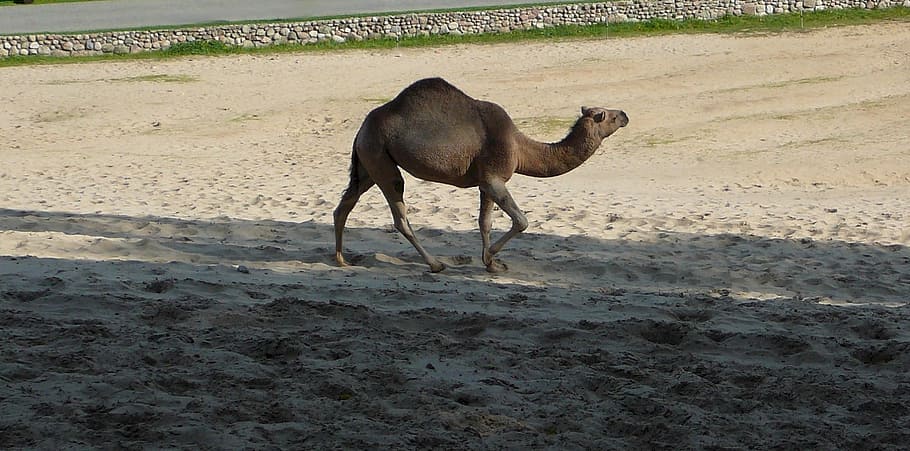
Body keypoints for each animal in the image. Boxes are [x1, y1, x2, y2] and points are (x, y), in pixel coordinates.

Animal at [334, 77, 628, 273]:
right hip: (380, 157)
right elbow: (521, 220)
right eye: (608, 116)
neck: (520, 148)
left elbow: (484, 222)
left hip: (369, 163)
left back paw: (341, 260)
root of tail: (360, 130)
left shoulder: (484, 182)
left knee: (345, 205)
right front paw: (491, 258)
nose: (625, 114)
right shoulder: (494, 178)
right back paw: (435, 264)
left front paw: (491, 263)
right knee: (399, 214)